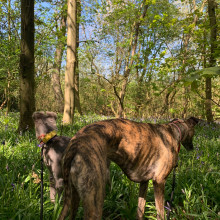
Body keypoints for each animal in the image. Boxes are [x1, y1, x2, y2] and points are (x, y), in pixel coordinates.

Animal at [58, 116, 199, 219]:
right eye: (194, 133)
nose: (192, 148)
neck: (174, 130)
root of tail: (75, 144)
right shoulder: (159, 182)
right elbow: (161, 214)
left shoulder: (144, 182)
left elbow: (140, 210)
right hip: (95, 201)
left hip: (74, 197)